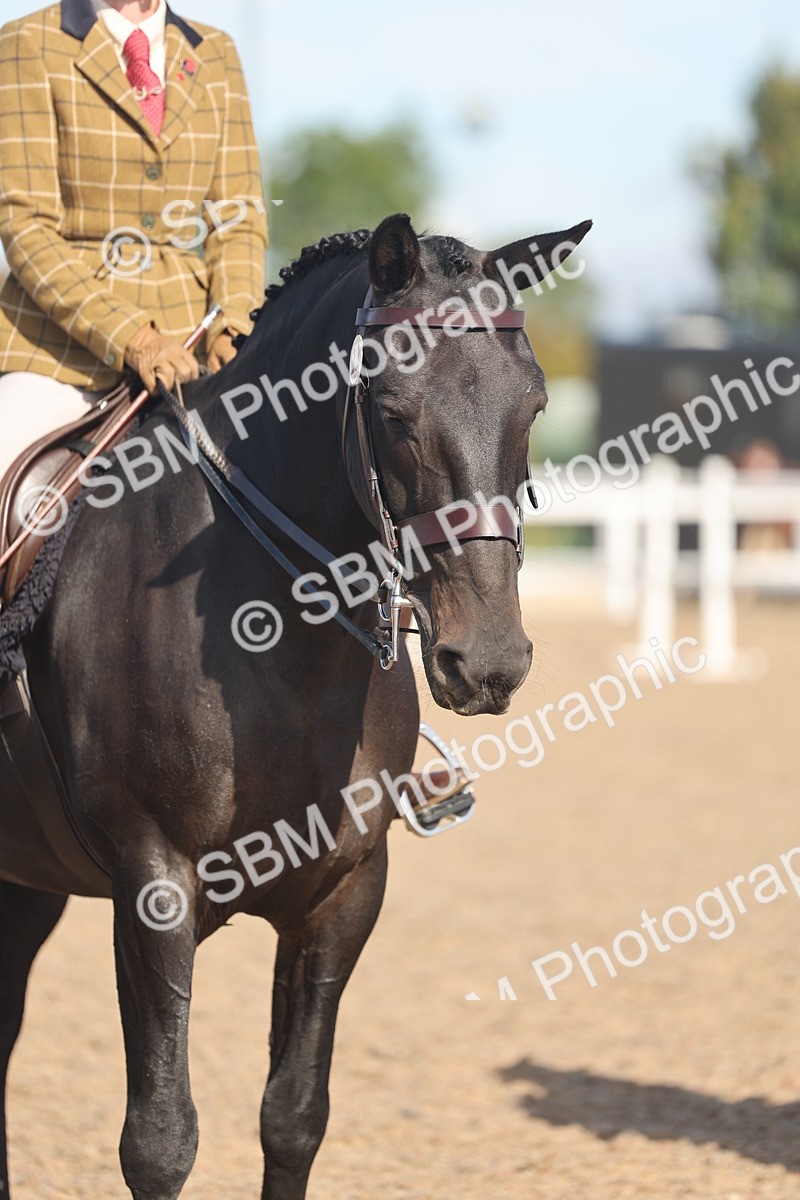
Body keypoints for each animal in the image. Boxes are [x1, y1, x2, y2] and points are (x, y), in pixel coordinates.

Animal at [0, 211, 590, 1200]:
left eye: (534, 408)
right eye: (392, 413)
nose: (489, 662)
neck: (281, 652)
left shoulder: (345, 893)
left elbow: (293, 1116)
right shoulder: (153, 889)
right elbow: (159, 1140)